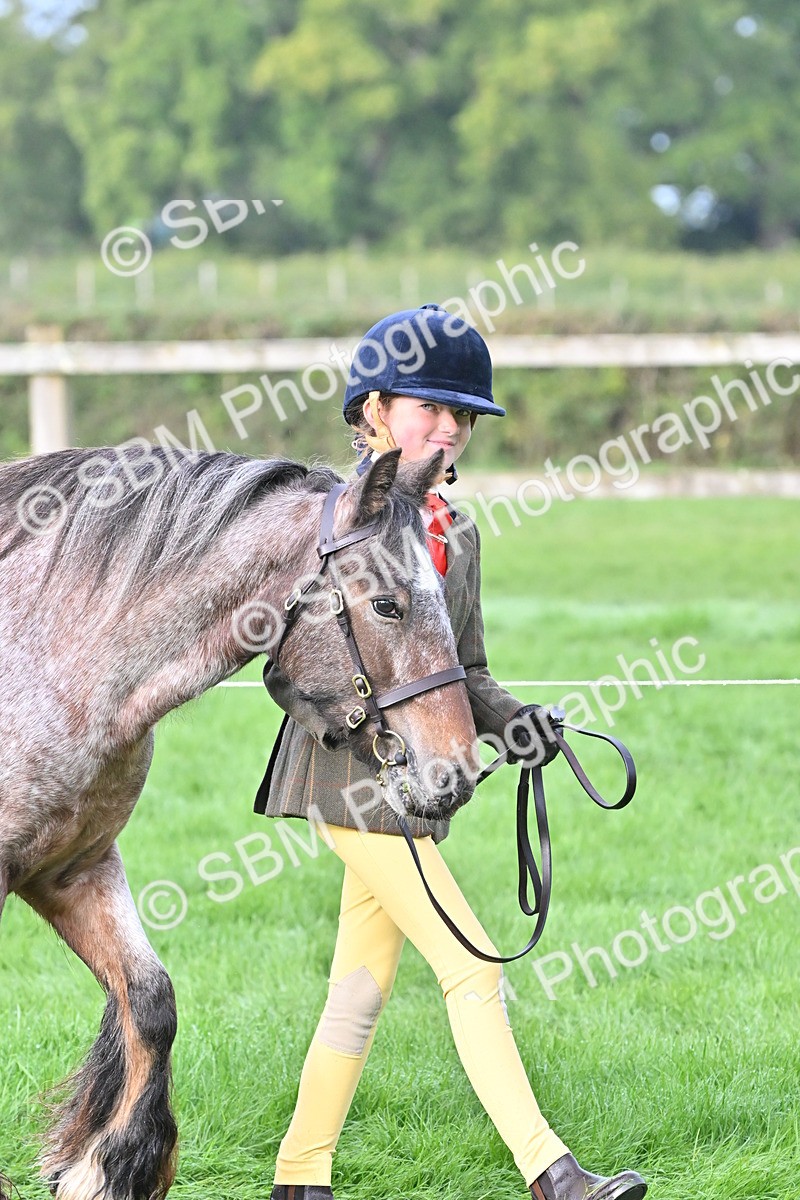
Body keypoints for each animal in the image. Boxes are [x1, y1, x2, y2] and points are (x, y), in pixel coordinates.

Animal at [0, 443, 479, 1200]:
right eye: (388, 605)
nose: (456, 772)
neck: (46, 651)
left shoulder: (72, 871)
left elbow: (151, 1001)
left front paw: (108, 1166)